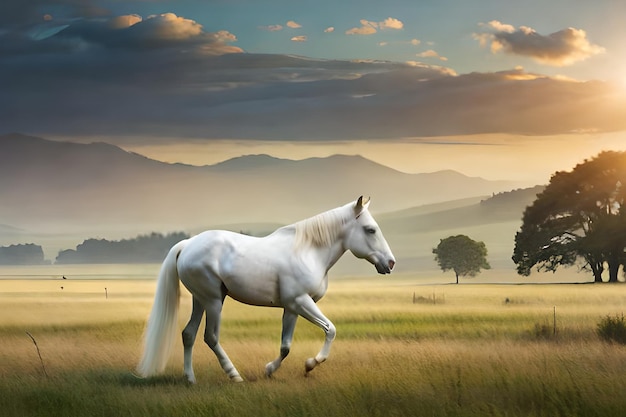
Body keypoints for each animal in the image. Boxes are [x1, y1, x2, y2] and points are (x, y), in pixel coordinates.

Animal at [136, 197, 392, 382]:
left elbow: (286, 346)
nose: (390, 263)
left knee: (188, 334)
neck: (309, 251)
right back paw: (234, 375)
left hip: (200, 299)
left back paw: (190, 379)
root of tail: (188, 244)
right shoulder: (301, 301)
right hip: (213, 301)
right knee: (211, 337)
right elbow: (331, 330)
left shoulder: (292, 308)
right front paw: (310, 364)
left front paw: (269, 370)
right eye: (370, 230)